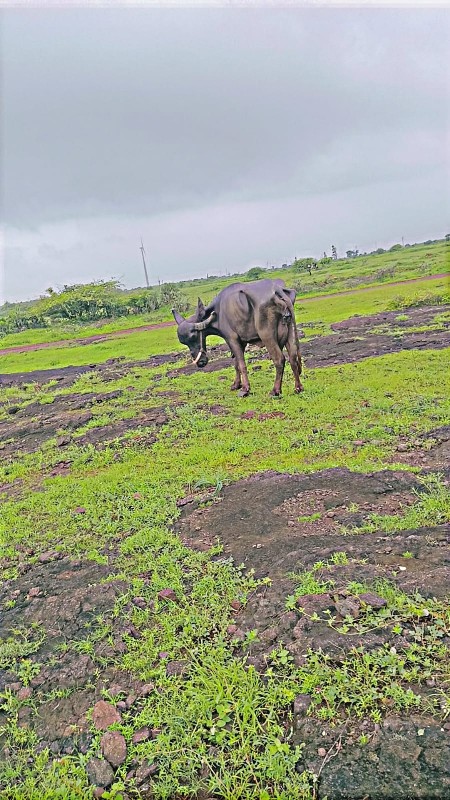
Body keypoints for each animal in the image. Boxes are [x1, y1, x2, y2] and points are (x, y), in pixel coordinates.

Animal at [172, 278, 303, 397]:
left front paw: (245, 389)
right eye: (185, 343)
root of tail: (277, 290)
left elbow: (241, 364)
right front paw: (236, 384)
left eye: (194, 337)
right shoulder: (241, 342)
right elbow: (236, 364)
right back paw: (298, 387)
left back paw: (275, 390)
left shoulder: (232, 339)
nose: (200, 362)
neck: (218, 313)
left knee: (279, 359)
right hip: (290, 332)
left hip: (267, 336)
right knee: (293, 358)